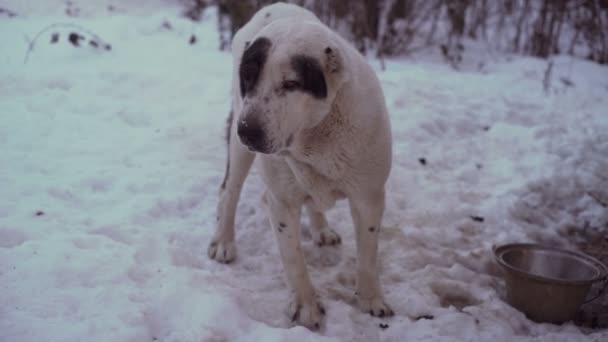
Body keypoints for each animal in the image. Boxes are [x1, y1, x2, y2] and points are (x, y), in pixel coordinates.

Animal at [207, 2, 392, 328]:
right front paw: (306, 307)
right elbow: (293, 258)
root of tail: (276, 6)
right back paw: (223, 240)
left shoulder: (369, 197)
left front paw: (371, 299)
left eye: (292, 84)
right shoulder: (281, 201)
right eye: (248, 77)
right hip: (239, 147)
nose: (248, 131)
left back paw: (321, 229)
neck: (317, 134)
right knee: (229, 191)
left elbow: (368, 253)